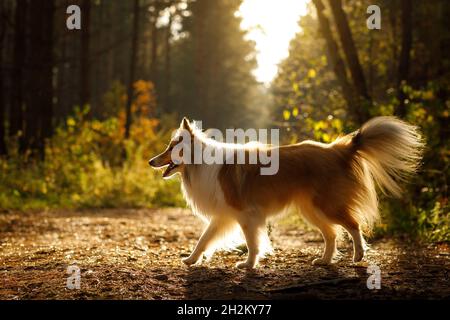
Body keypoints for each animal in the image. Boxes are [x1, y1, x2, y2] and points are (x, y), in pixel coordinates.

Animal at [149, 116, 424, 268]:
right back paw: (324, 261)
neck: (200, 163)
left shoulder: (246, 214)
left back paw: (358, 256)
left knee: (353, 225)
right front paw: (191, 260)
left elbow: (252, 242)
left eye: (171, 148)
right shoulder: (224, 215)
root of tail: (336, 149)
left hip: (327, 205)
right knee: (332, 234)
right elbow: (204, 239)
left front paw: (248, 264)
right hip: (311, 209)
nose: (151, 161)